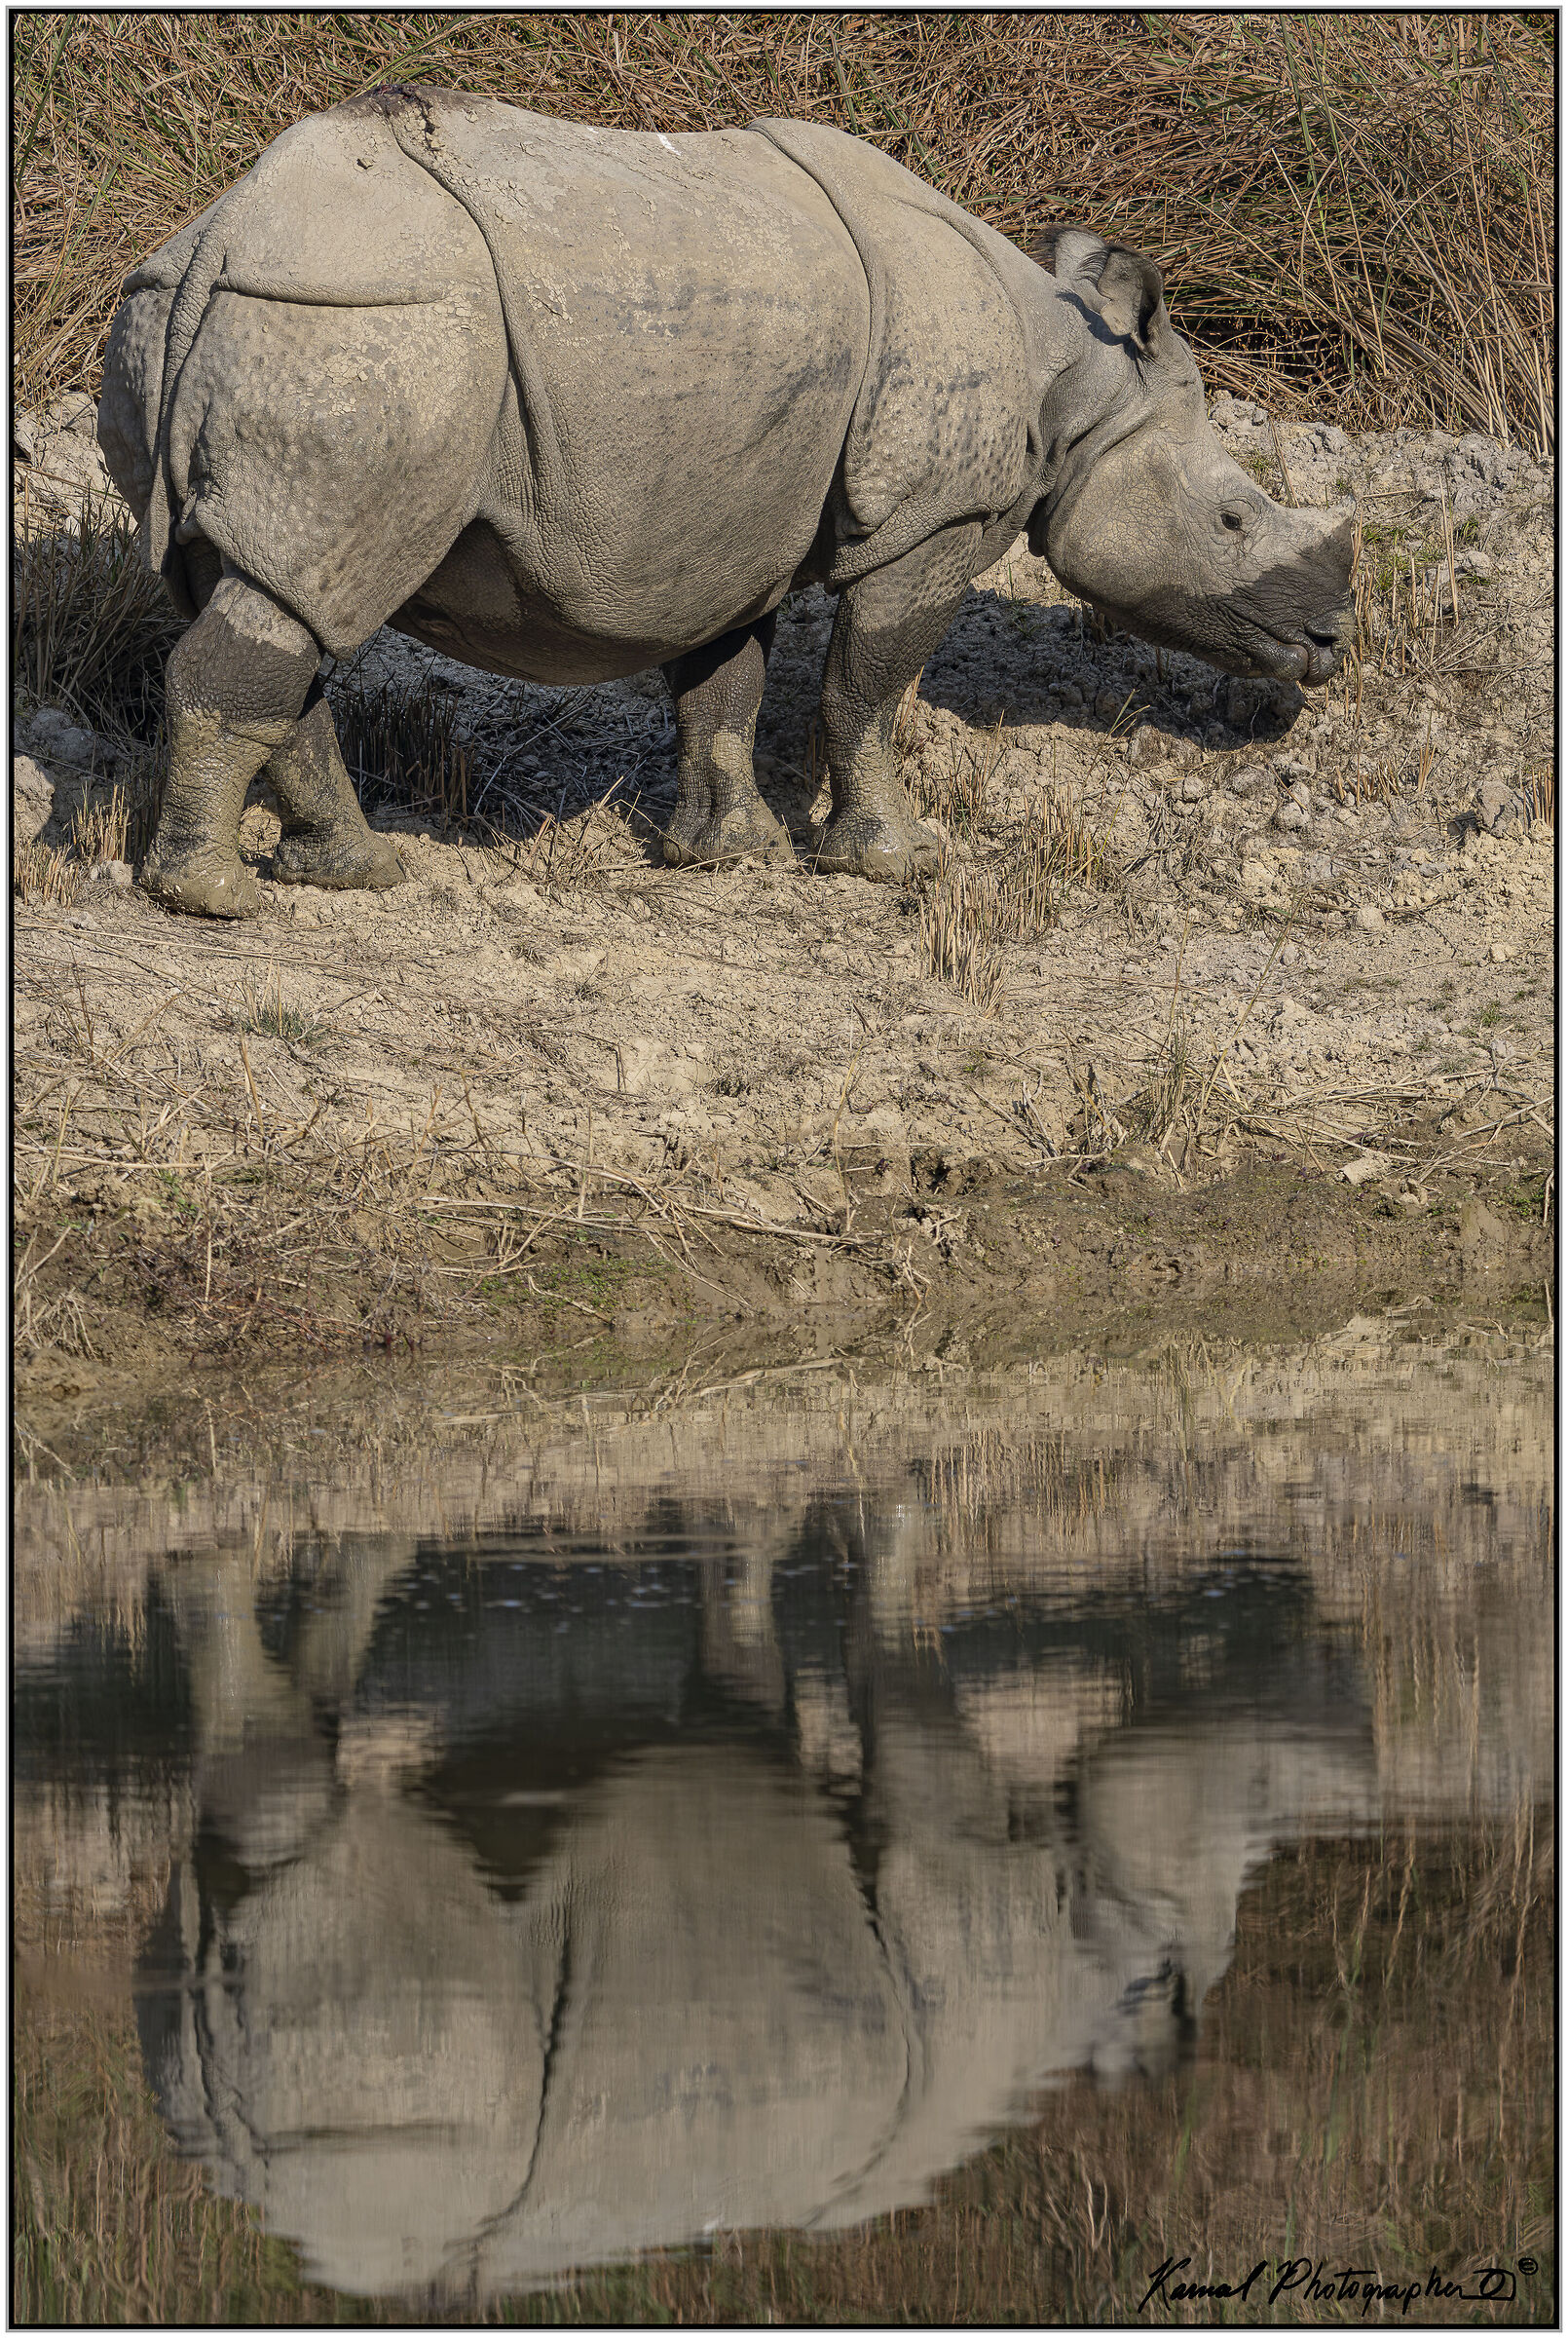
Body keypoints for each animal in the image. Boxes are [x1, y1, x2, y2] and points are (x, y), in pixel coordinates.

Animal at [98, 88, 1355, 919]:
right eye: (1233, 521)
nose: (1330, 642)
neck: (1076, 383)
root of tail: (216, 235)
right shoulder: (931, 523)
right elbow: (865, 689)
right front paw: (893, 863)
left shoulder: (735, 516)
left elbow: (725, 686)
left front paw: (726, 854)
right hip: (367, 327)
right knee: (309, 590)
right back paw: (214, 899)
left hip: (229, 317)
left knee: (279, 596)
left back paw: (351, 872)